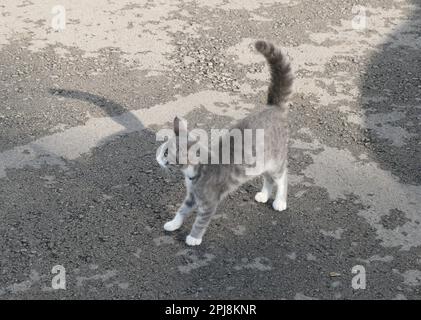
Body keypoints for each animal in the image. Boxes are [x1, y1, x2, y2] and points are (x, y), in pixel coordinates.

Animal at [156, 39, 294, 245]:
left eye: (166, 152)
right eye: (162, 148)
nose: (157, 157)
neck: (195, 172)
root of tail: (274, 108)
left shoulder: (209, 202)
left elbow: (200, 221)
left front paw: (194, 238)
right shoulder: (191, 196)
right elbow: (182, 209)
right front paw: (174, 223)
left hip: (275, 160)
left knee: (282, 176)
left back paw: (280, 201)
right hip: (260, 162)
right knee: (268, 177)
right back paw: (264, 194)